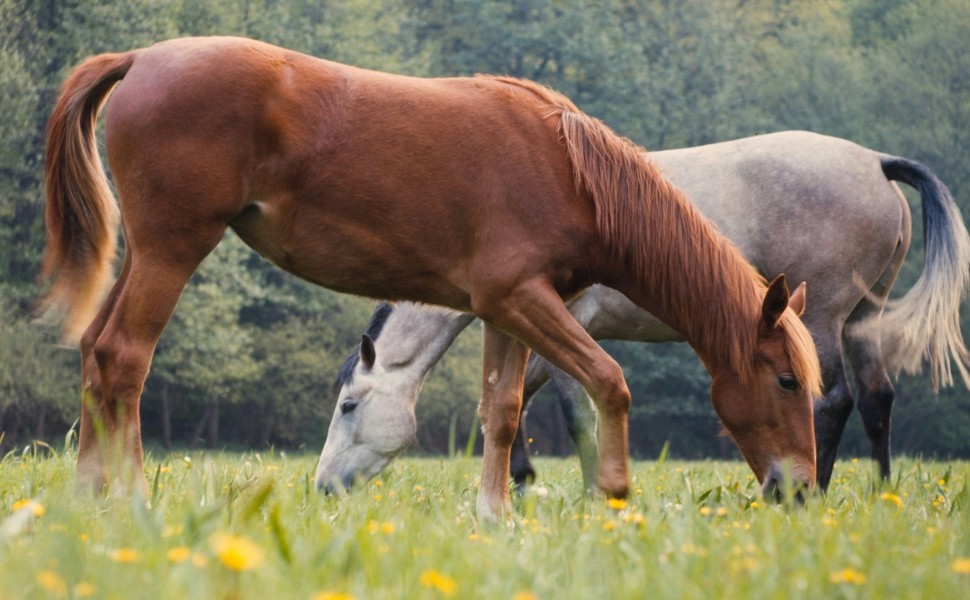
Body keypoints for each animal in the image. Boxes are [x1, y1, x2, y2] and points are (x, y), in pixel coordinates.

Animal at [43, 35, 816, 516]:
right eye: (785, 381)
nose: (802, 491)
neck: (570, 172)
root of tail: (142, 58)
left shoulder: (509, 310)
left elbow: (502, 411)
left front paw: (494, 514)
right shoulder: (522, 300)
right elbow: (609, 381)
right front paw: (614, 494)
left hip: (143, 255)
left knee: (95, 354)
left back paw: (86, 499)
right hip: (172, 251)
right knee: (125, 358)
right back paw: (133, 501)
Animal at [314, 131, 964, 492]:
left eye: (349, 406)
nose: (323, 489)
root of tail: (874, 160)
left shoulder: (563, 324)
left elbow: (563, 409)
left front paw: (573, 490)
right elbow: (522, 403)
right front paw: (533, 483)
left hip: (821, 318)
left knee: (832, 402)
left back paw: (815, 490)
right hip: (859, 320)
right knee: (877, 400)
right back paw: (880, 494)